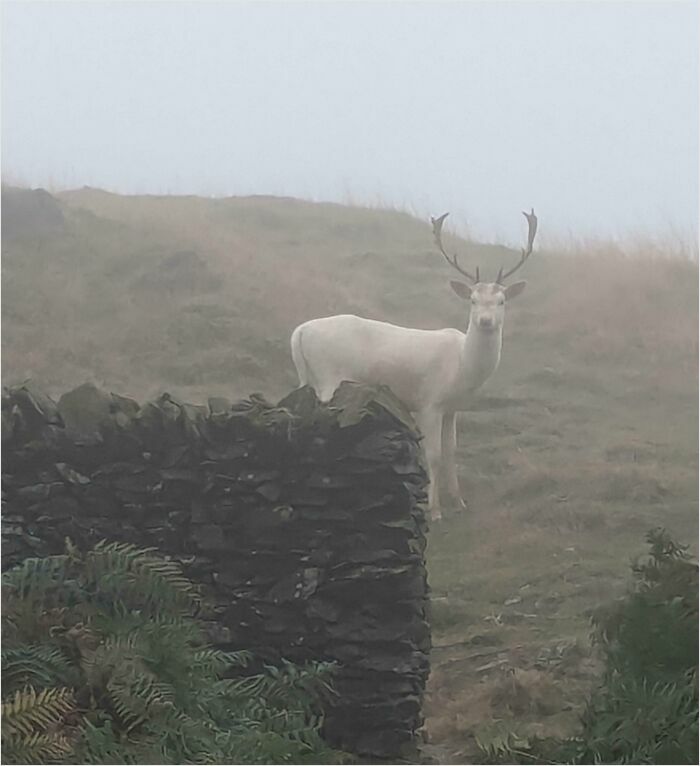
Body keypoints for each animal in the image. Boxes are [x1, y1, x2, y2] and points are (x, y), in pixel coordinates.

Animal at [288, 210, 536, 520]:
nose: (486, 321)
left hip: (310, 378)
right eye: (472, 299)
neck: (463, 366)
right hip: (329, 376)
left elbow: (452, 450)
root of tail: (299, 332)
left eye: (501, 301)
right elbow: (434, 454)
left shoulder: (452, 408)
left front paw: (459, 502)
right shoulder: (430, 402)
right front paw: (435, 510)